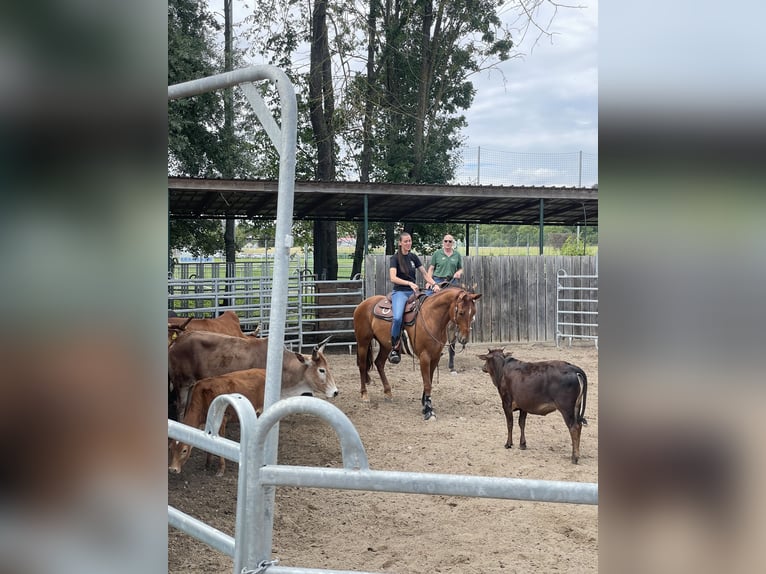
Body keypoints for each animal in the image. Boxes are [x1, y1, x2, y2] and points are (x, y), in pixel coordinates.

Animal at [352, 290, 480, 420]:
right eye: (461, 312)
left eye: (473, 313)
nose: (464, 339)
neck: (431, 317)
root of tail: (363, 303)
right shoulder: (424, 357)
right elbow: (427, 383)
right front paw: (429, 411)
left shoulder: (435, 357)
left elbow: (429, 380)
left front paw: (425, 404)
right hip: (363, 343)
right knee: (362, 366)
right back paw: (364, 394)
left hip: (385, 345)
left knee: (379, 363)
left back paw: (388, 392)